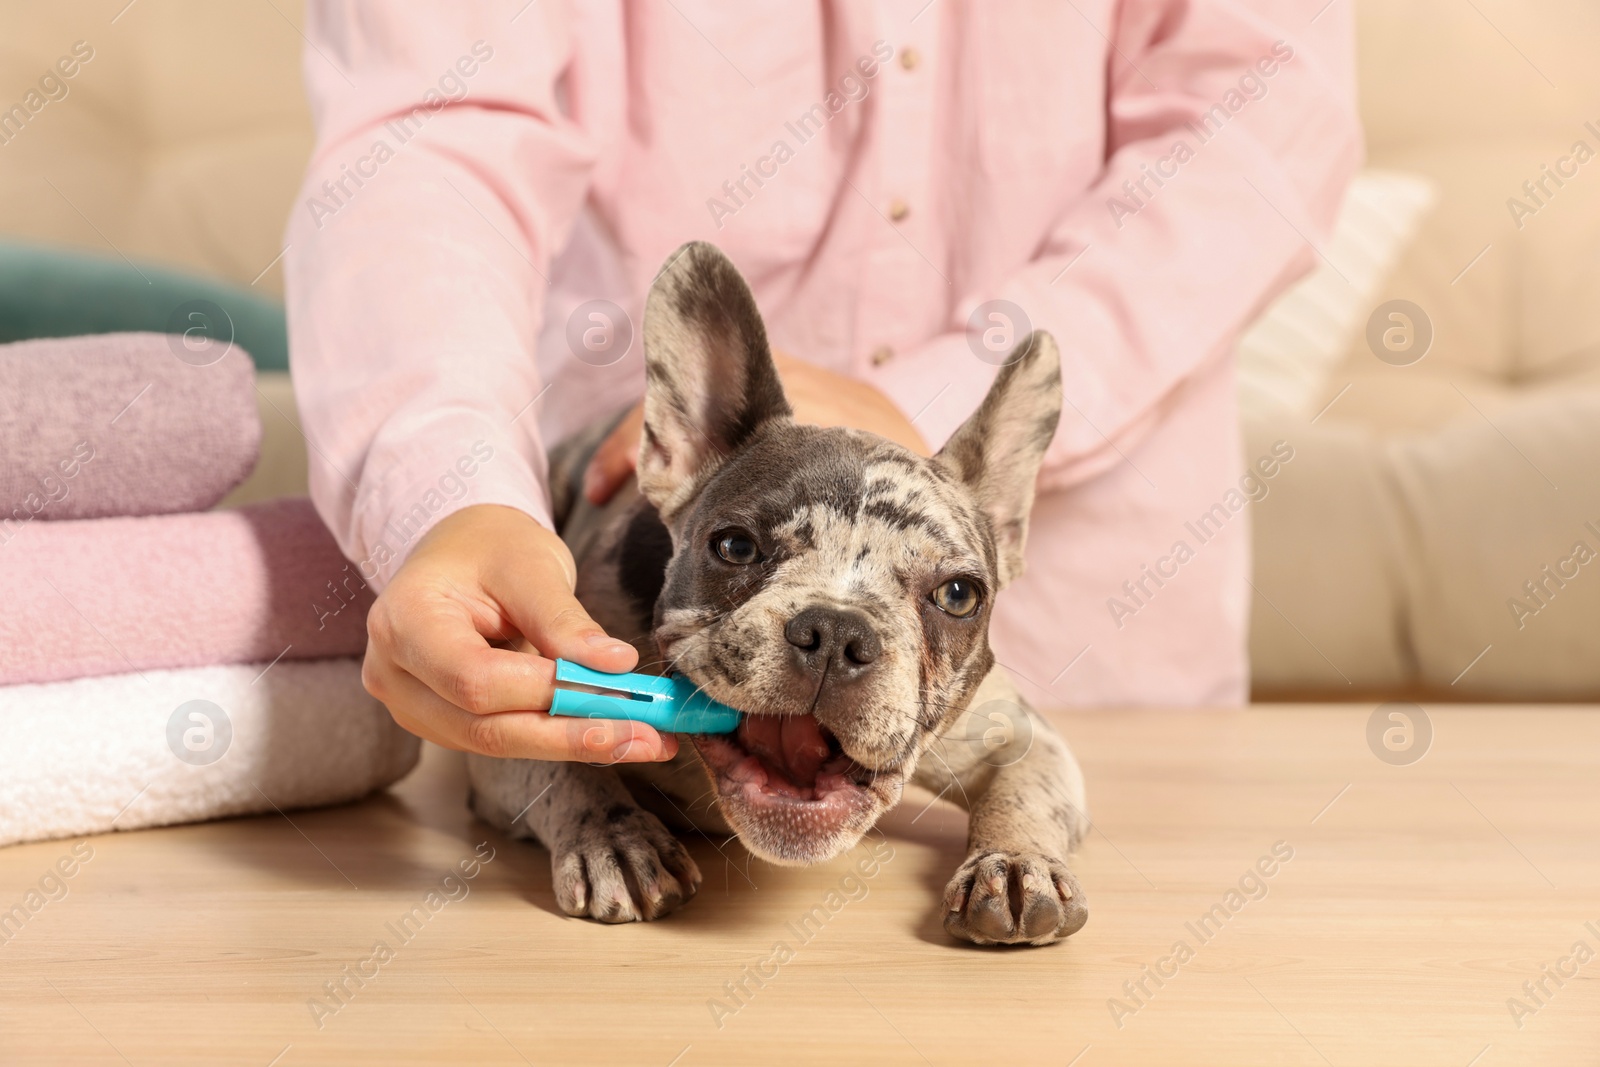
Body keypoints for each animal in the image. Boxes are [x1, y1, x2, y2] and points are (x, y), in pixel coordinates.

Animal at [467, 239, 1088, 940]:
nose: (837, 631)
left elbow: (1023, 793)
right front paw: (613, 837)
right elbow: (560, 761)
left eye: (959, 596)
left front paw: (1015, 862)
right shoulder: (503, 742)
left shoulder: (1021, 737)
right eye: (735, 546)